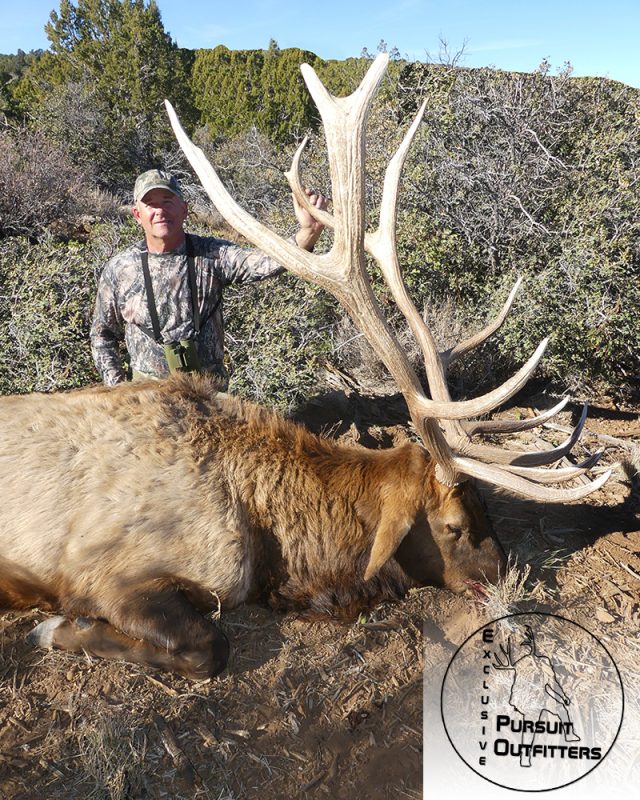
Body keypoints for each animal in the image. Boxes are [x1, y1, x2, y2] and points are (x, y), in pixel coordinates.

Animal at [1, 56, 608, 680]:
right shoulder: (107, 571)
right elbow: (203, 645)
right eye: (453, 526)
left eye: (487, 508)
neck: (276, 544)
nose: (509, 577)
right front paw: (54, 629)